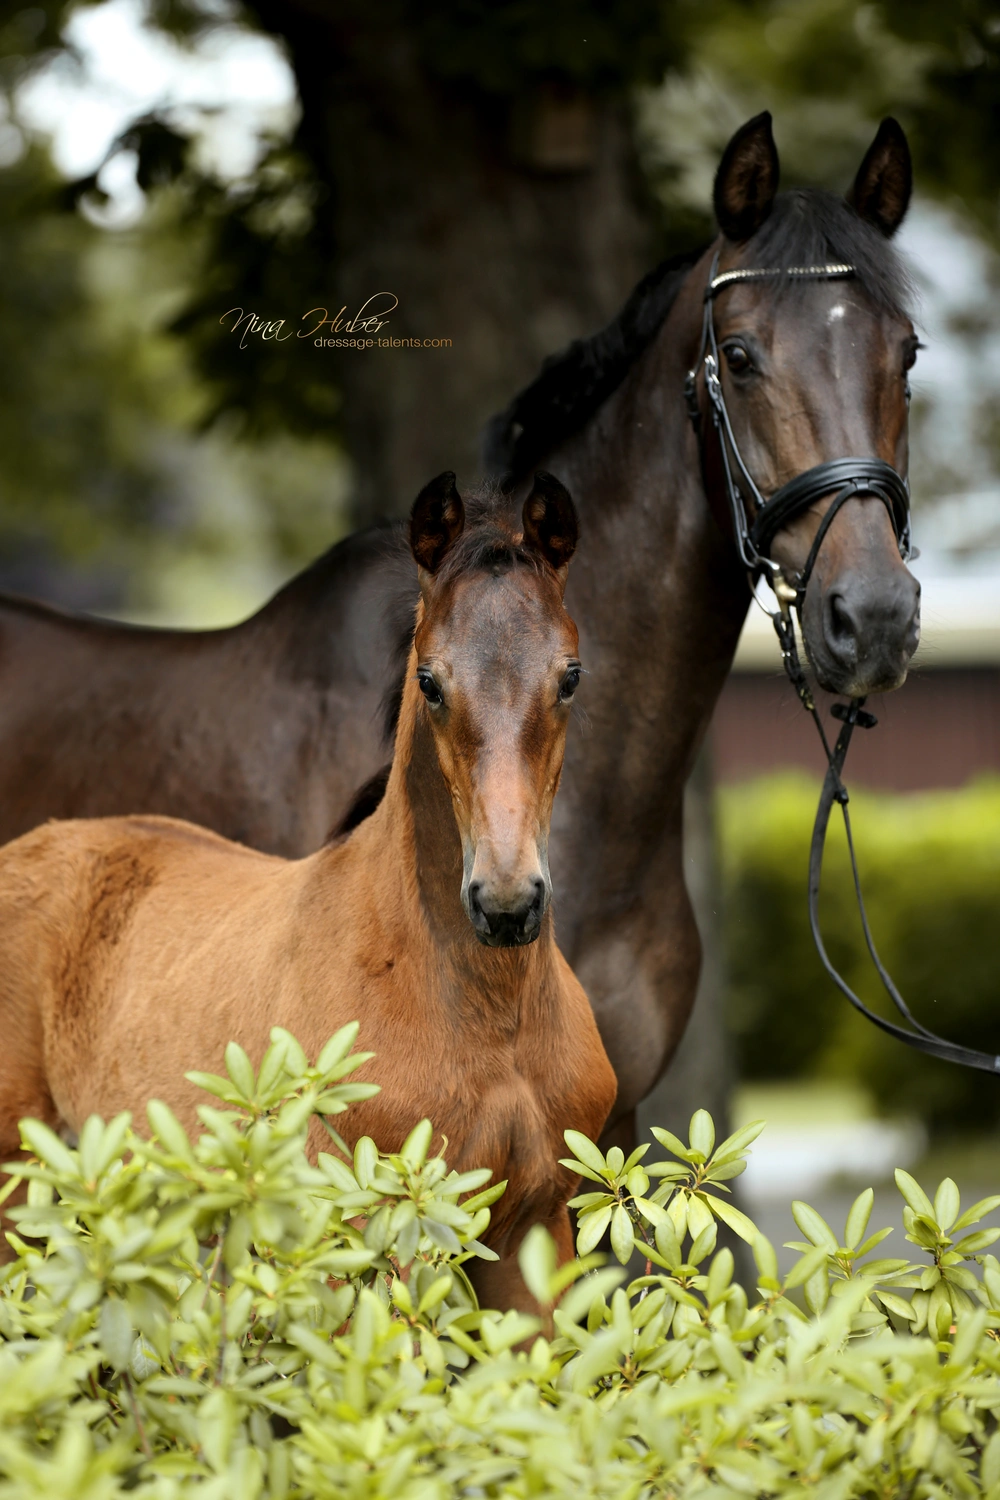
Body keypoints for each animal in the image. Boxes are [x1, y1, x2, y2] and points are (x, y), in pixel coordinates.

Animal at [0, 471, 616, 1307]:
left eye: (570, 677)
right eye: (429, 681)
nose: (506, 903)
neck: (491, 1017)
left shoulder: (535, 1228)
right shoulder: (370, 1233)